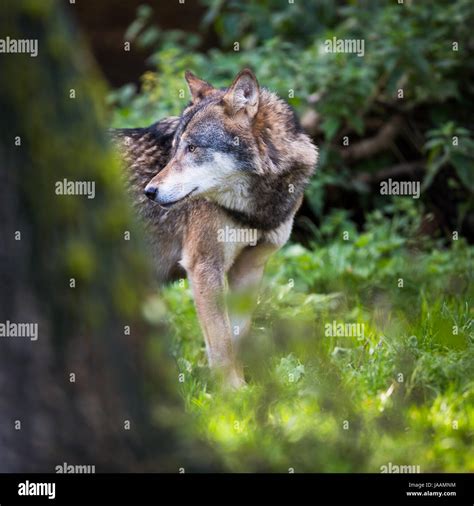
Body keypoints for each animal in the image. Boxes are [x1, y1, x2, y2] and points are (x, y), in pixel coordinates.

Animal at [111, 69, 318, 390]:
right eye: (174, 150)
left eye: (193, 148)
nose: (149, 191)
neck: (254, 212)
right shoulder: (204, 267)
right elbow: (221, 343)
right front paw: (232, 394)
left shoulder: (250, 268)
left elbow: (237, 337)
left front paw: (243, 391)